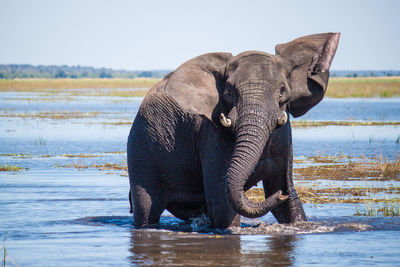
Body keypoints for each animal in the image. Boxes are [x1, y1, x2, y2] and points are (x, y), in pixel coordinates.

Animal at [126, 32, 340, 229]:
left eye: (282, 91)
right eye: (229, 92)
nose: (280, 195)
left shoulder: (283, 136)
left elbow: (287, 199)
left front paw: (287, 200)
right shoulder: (212, 134)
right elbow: (223, 207)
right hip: (141, 149)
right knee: (147, 210)